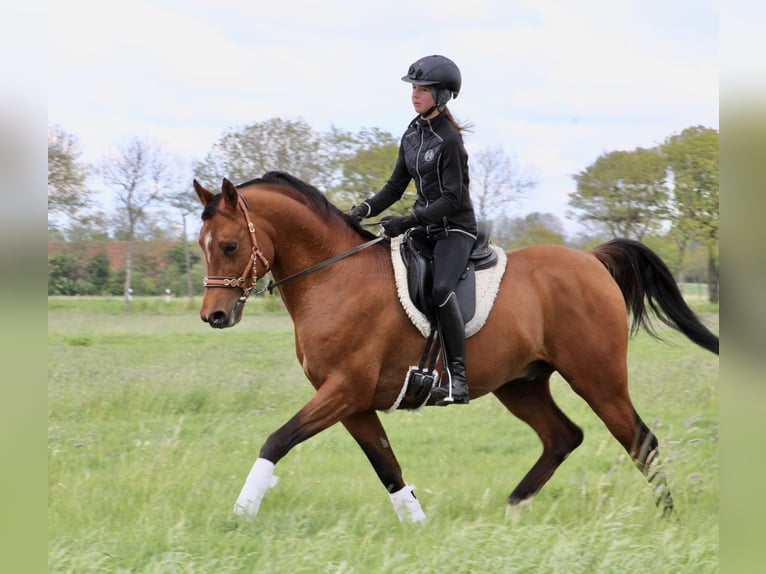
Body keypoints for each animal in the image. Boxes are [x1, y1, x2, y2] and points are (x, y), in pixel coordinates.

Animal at [192, 172, 720, 528]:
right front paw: (418, 526)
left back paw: (669, 520)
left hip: (597, 378)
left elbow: (276, 441)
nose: (214, 316)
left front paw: (240, 513)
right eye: (202, 245)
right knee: (562, 437)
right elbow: (387, 466)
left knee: (641, 440)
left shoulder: (344, 391)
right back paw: (512, 508)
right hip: (522, 384)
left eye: (231, 245)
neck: (334, 276)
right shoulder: (352, 403)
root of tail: (591, 260)